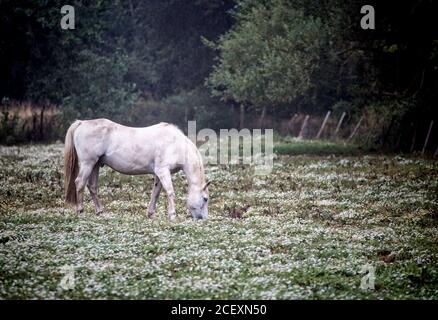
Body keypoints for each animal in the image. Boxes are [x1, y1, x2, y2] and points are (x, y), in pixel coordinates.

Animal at [63, 119, 210, 220]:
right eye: (205, 199)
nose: (203, 219)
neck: (175, 144)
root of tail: (81, 123)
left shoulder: (159, 174)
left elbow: (155, 193)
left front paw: (151, 214)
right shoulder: (163, 171)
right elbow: (170, 192)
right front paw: (172, 215)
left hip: (95, 165)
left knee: (92, 187)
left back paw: (100, 211)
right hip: (88, 164)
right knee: (80, 183)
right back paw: (80, 211)